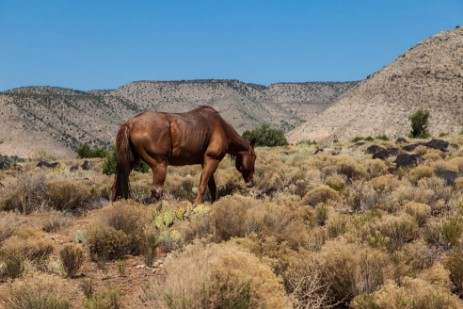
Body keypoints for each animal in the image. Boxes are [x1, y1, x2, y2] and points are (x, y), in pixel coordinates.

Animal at [112, 104, 258, 203]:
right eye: (255, 157)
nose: (251, 183)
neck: (221, 128)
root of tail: (130, 123)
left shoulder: (206, 162)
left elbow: (211, 186)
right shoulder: (212, 160)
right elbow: (202, 186)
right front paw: (196, 206)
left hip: (129, 163)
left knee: (116, 187)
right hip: (159, 165)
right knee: (157, 190)